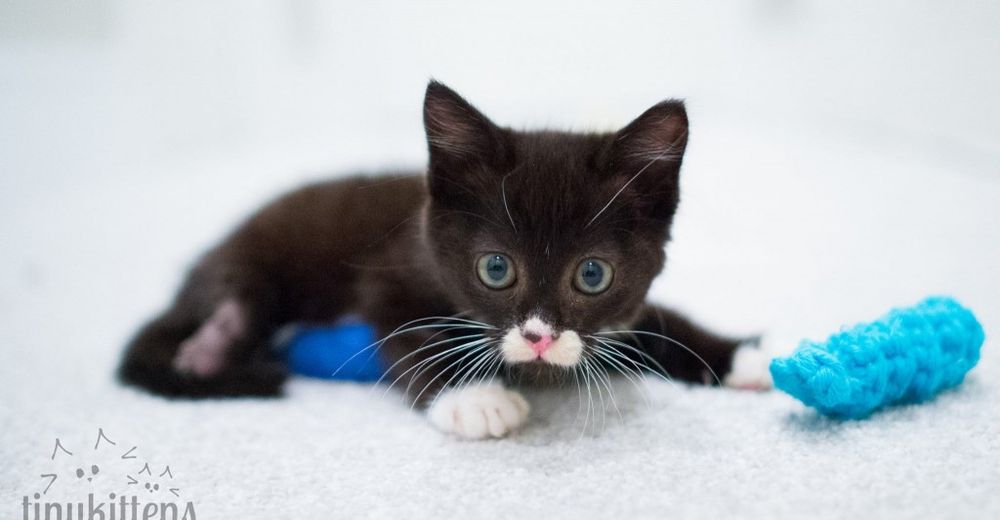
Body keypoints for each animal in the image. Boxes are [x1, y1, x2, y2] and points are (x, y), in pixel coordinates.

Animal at [119, 81, 772, 438]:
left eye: (592, 274)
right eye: (495, 269)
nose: (538, 336)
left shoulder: (622, 313)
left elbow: (662, 323)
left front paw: (743, 357)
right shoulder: (389, 271)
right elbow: (413, 334)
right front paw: (475, 399)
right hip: (251, 271)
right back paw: (213, 341)